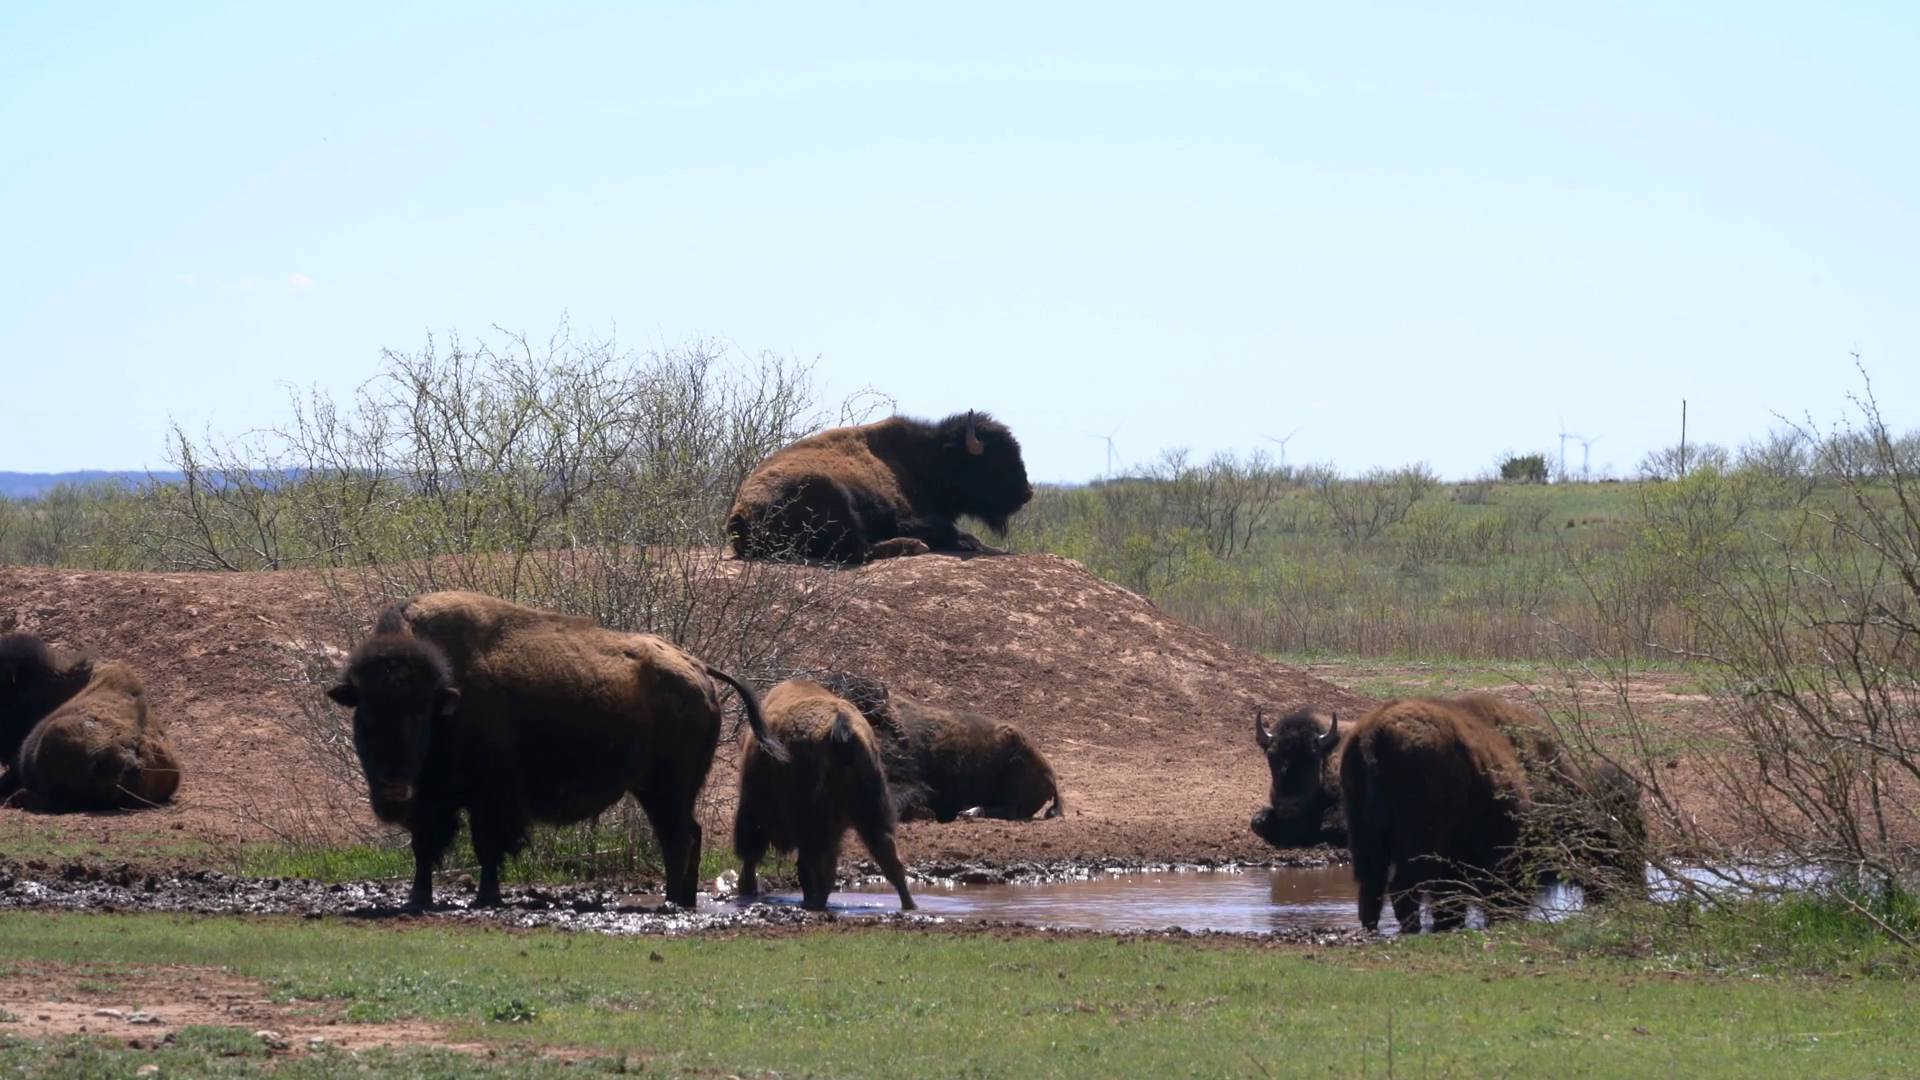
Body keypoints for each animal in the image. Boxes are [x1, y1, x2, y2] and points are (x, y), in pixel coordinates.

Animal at [327, 591, 781, 912]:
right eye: (365, 715)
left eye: (421, 715)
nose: (393, 786)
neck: (449, 695)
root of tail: (698, 668)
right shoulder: (432, 798)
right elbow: (424, 846)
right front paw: (418, 898)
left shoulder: (491, 796)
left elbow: (487, 845)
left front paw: (486, 897)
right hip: (662, 790)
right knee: (689, 833)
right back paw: (682, 899)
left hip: (665, 788)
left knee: (677, 837)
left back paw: (670, 901)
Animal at [726, 411, 1034, 563]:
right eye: (995, 462)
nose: (1027, 493)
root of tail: (739, 514)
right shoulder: (906, 518)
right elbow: (948, 530)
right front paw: (968, 542)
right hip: (833, 496)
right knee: (856, 552)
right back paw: (913, 546)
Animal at [734, 678, 915, 911]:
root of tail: (842, 730)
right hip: (871, 810)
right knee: (889, 858)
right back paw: (909, 904)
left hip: (819, 820)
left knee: (823, 867)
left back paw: (813, 903)